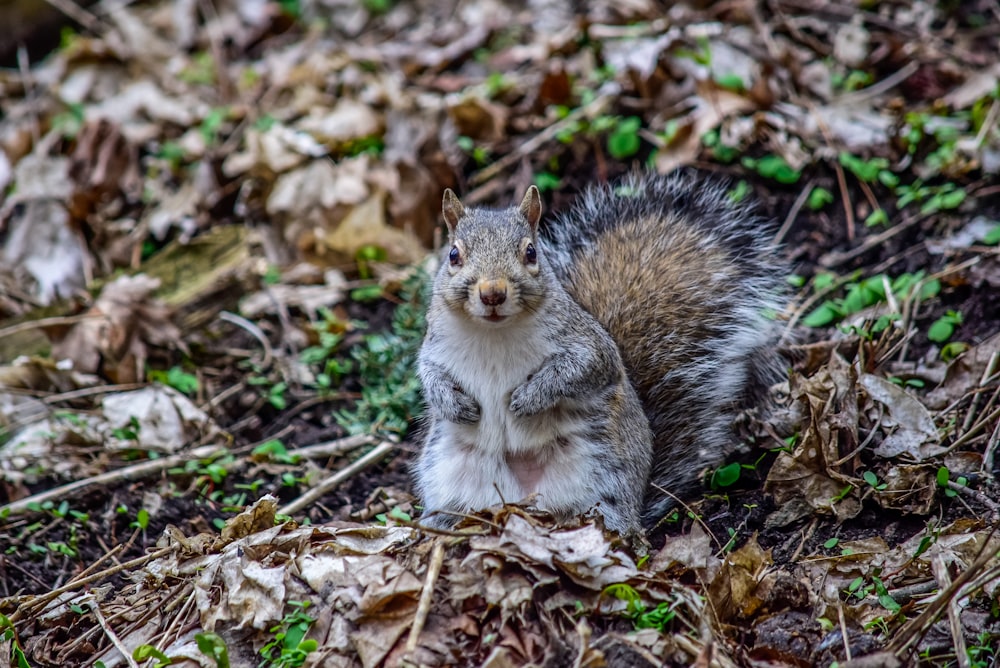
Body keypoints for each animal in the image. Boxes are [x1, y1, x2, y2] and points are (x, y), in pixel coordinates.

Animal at [414, 171, 788, 532]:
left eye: (531, 252)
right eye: (453, 255)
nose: (492, 292)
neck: (494, 333)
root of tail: (519, 502)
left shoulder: (588, 345)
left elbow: (577, 370)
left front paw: (530, 398)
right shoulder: (434, 347)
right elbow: (429, 376)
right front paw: (453, 403)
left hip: (600, 476)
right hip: (451, 475)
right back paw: (437, 524)